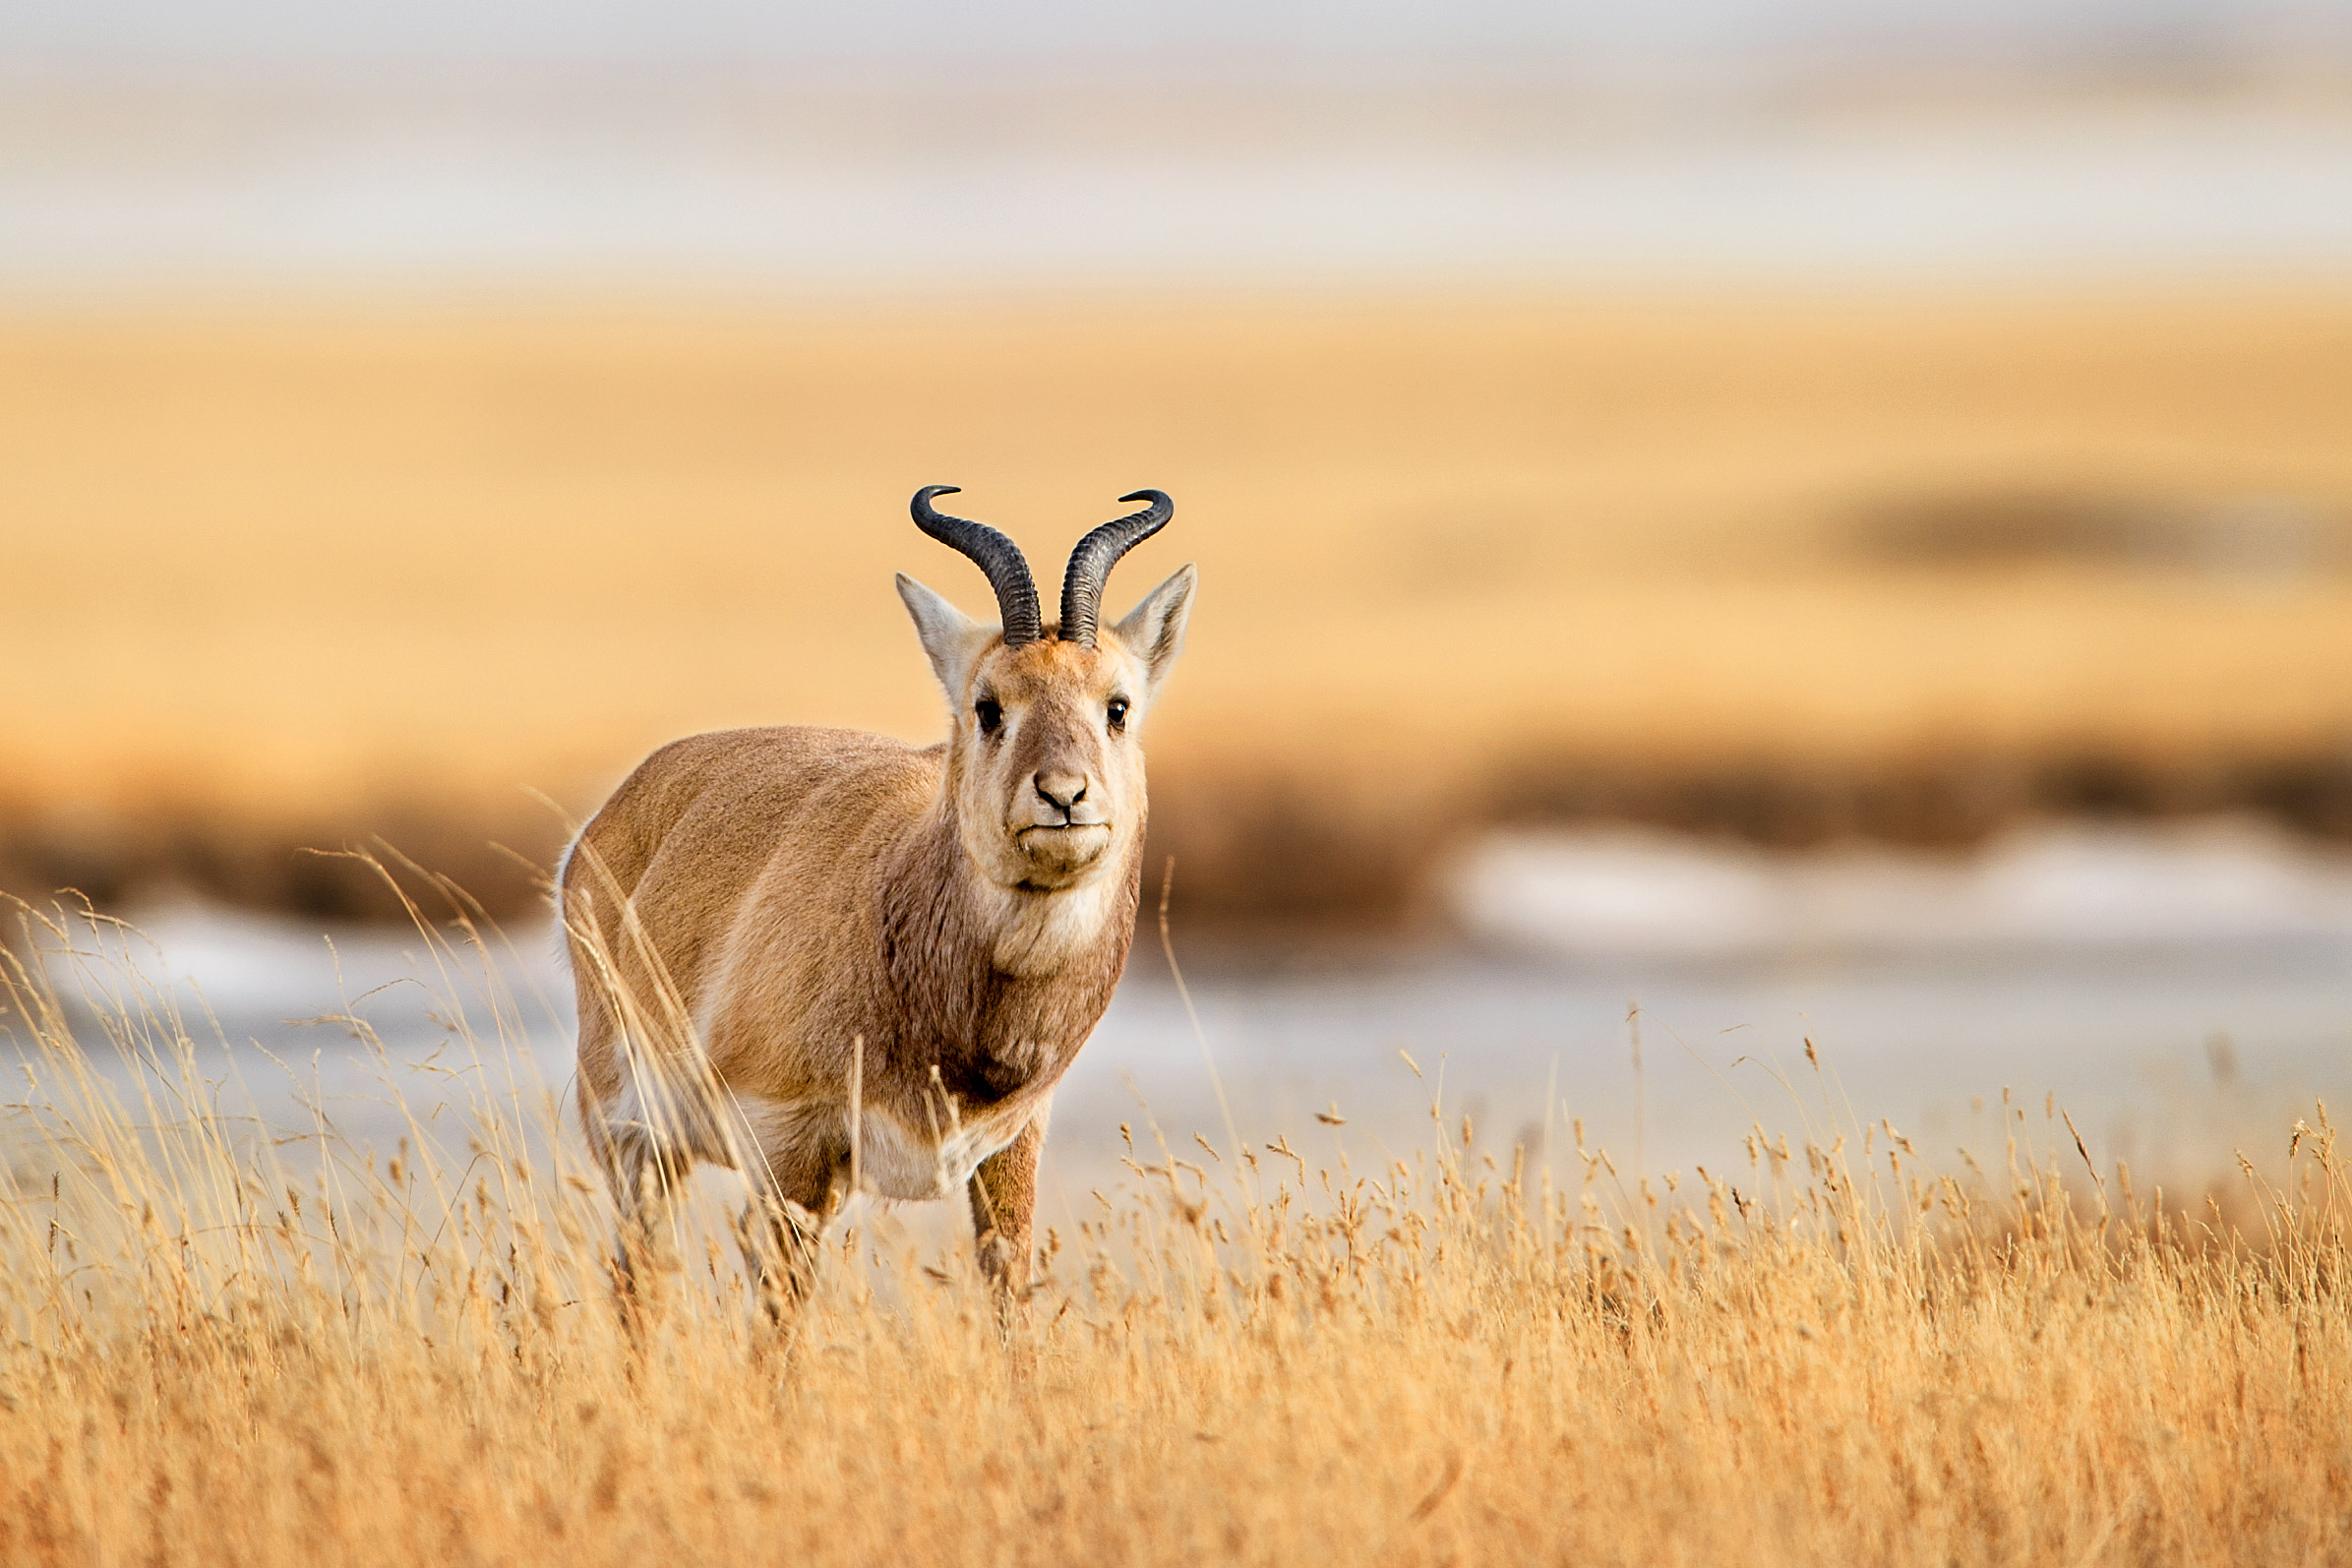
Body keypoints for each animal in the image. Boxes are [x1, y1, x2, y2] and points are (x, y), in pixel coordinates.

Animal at [555, 486, 1194, 1297]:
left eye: (1117, 705)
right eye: (988, 706)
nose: (1063, 795)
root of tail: (618, 809)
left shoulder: (1008, 1149)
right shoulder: (791, 1150)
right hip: (636, 1142)